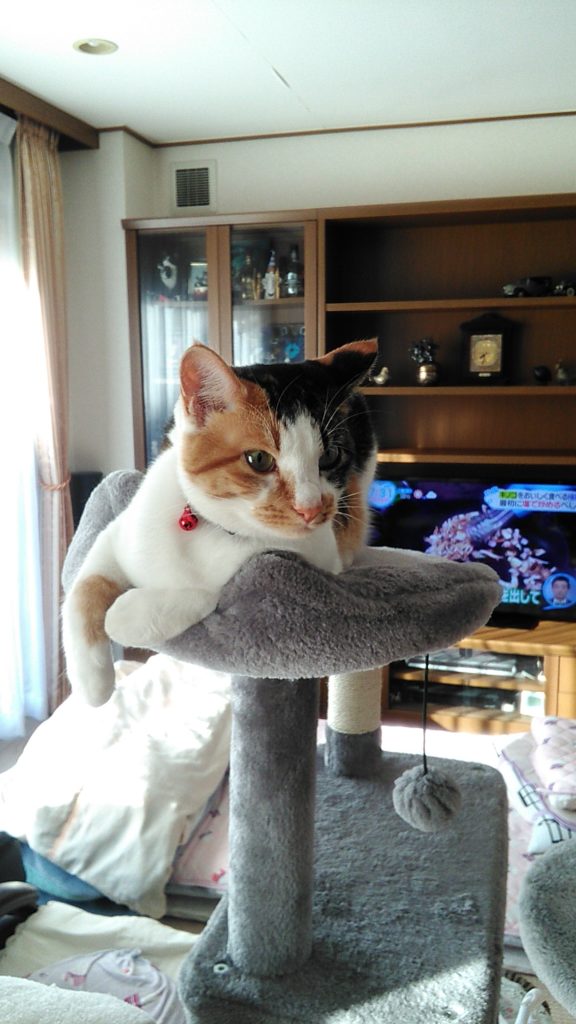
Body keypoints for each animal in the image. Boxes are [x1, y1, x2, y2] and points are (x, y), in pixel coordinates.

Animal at [62, 339, 378, 706]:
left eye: (329, 457)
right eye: (258, 459)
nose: (312, 509)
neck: (208, 526)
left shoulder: (320, 555)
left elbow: (208, 591)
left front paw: (125, 615)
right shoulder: (117, 534)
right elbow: (84, 586)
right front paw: (92, 683)